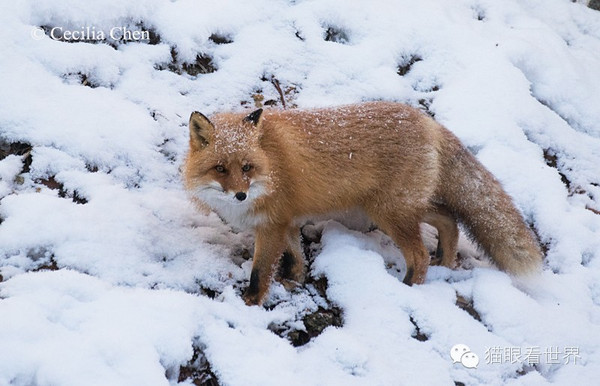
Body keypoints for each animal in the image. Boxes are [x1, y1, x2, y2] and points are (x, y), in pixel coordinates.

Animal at [184, 102, 544, 304]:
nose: (240, 195)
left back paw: (408, 289)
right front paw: (295, 281)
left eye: (246, 167)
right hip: (403, 206)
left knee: (419, 255)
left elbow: (261, 272)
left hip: (390, 213)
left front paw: (250, 303)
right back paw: (445, 259)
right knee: (449, 220)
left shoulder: (271, 224)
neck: (270, 167)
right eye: (220, 169)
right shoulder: (286, 221)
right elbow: (296, 256)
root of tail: (427, 121)